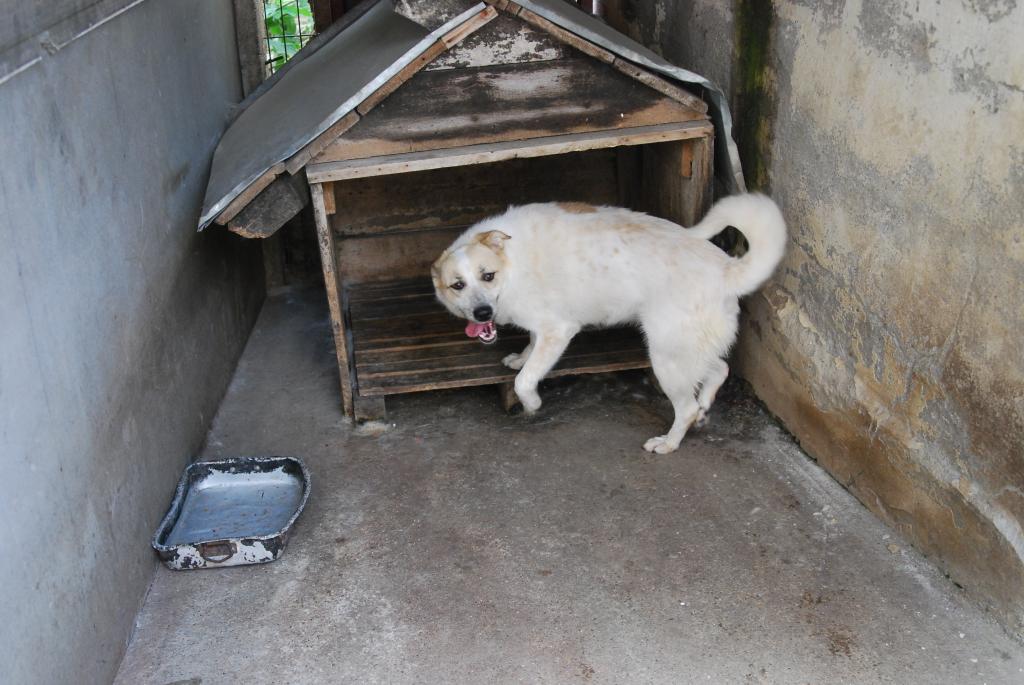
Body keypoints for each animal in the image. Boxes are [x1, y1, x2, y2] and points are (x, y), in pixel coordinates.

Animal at [430, 193, 782, 448]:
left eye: (487, 276)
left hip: (666, 358)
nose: (482, 313)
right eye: (458, 285)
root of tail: (727, 270)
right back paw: (705, 407)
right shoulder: (539, 328)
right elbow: (529, 348)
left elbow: (525, 380)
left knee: (687, 407)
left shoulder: (558, 331)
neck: (512, 263)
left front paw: (531, 404)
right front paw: (521, 358)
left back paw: (668, 443)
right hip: (686, 351)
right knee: (719, 369)